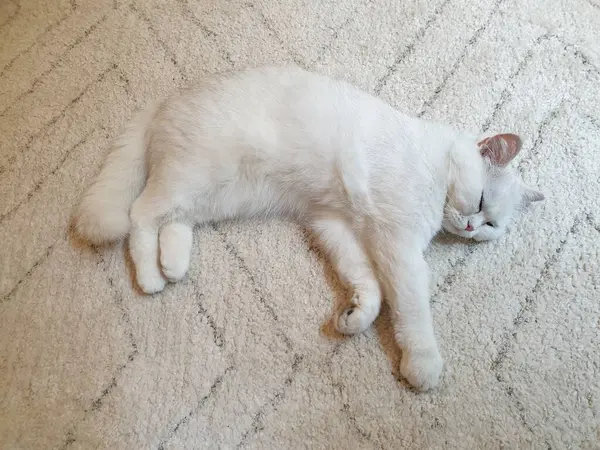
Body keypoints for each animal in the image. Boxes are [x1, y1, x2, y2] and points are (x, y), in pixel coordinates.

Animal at [74, 66, 544, 390]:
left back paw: (172, 265)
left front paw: (355, 315)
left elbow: (366, 283)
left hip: (213, 196)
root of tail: (165, 101)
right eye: (480, 202)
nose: (471, 227)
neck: (436, 164)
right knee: (141, 215)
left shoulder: (336, 225)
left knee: (173, 222)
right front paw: (423, 364)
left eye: (492, 224)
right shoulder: (398, 246)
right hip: (193, 180)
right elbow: (411, 308)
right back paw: (150, 277)